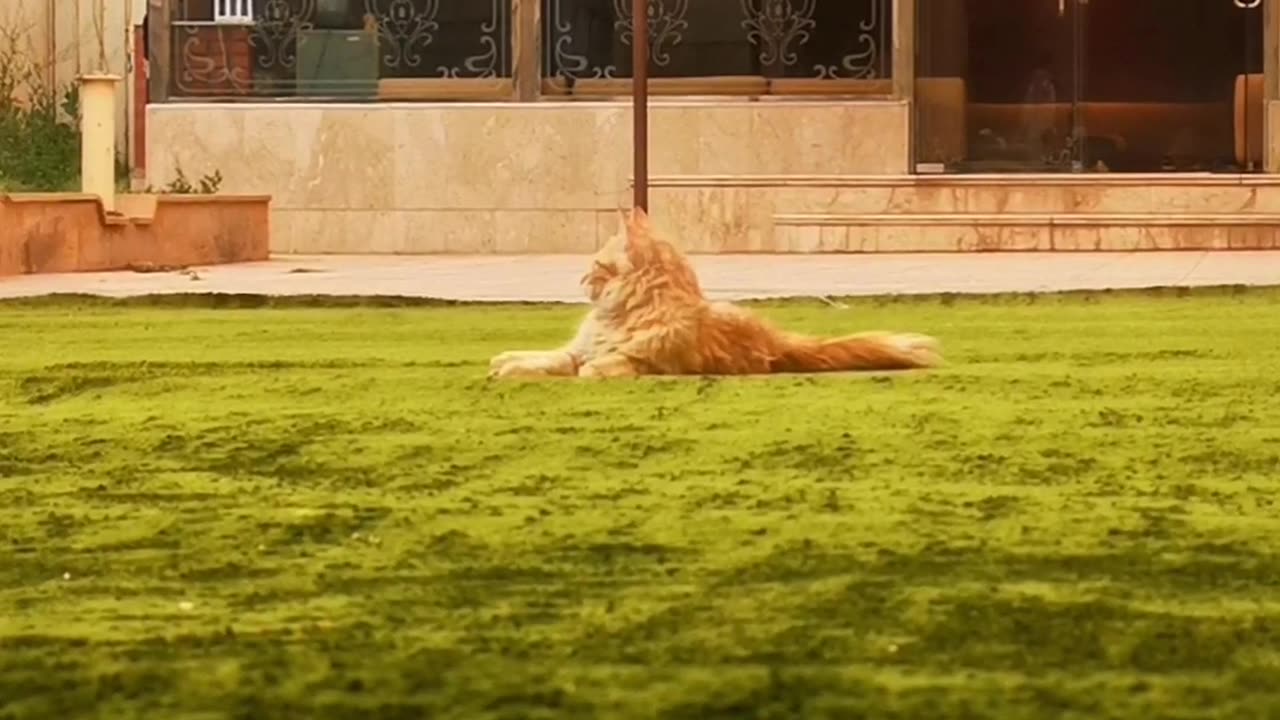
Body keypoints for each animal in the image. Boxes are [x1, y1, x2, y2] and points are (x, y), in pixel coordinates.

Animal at [488, 206, 942, 379]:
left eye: (597, 266)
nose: (582, 281)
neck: (624, 313)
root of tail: (777, 342)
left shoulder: (637, 363)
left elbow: (592, 368)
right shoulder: (575, 352)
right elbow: (542, 359)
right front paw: (506, 363)